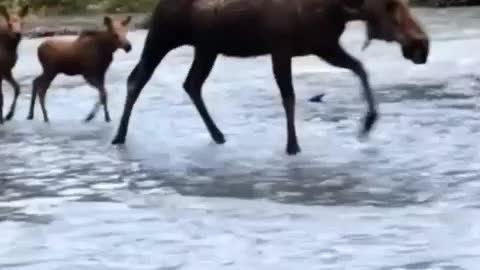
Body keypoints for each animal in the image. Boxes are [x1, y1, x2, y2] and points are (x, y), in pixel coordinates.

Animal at [110, 0, 430, 155]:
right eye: (390, 6)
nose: (422, 46)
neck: (334, 9)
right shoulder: (281, 48)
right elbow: (289, 97)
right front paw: (292, 146)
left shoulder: (323, 45)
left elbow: (361, 69)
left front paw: (368, 123)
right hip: (163, 36)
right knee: (137, 78)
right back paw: (119, 135)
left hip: (207, 48)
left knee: (191, 84)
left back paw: (218, 135)